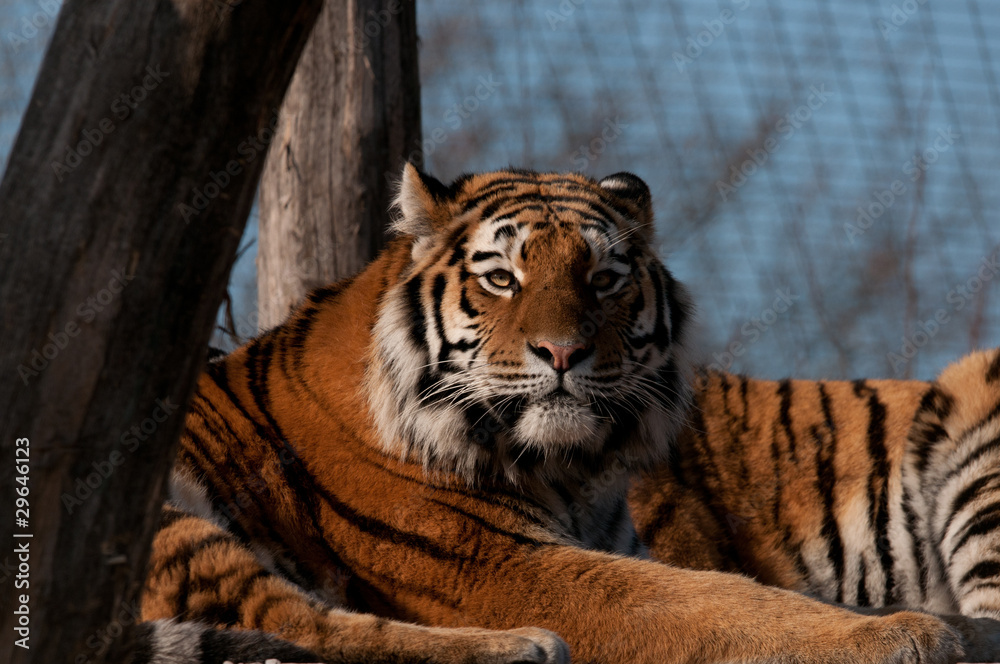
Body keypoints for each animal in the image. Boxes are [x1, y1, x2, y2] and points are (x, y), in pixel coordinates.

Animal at [135, 163, 997, 663]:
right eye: (502, 278)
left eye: (605, 278)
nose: (562, 353)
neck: (570, 469)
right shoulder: (497, 562)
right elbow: (717, 599)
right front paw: (900, 632)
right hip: (170, 518)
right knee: (293, 626)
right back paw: (522, 647)